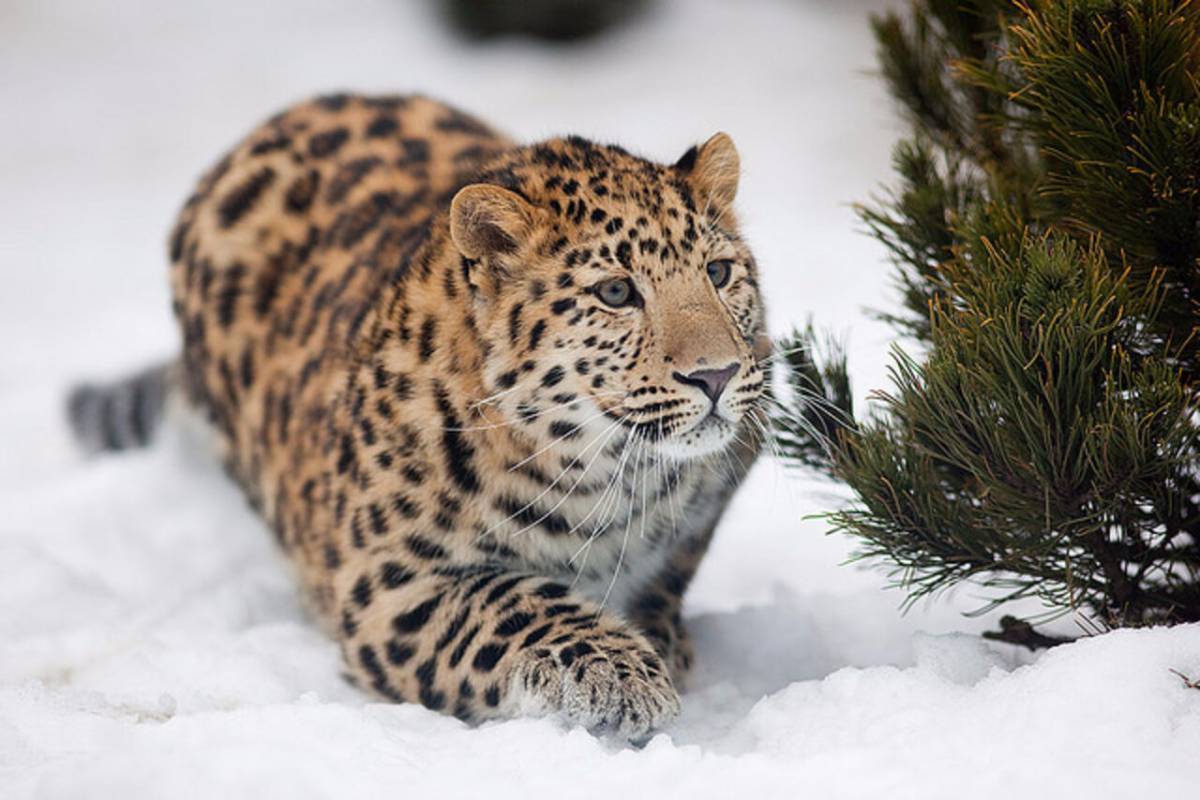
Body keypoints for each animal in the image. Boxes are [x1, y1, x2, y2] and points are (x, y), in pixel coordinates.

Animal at [70, 92, 768, 738]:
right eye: (617, 292)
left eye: (718, 271)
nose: (716, 374)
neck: (615, 476)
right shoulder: (386, 587)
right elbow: (511, 602)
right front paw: (616, 668)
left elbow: (667, 570)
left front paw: (659, 635)